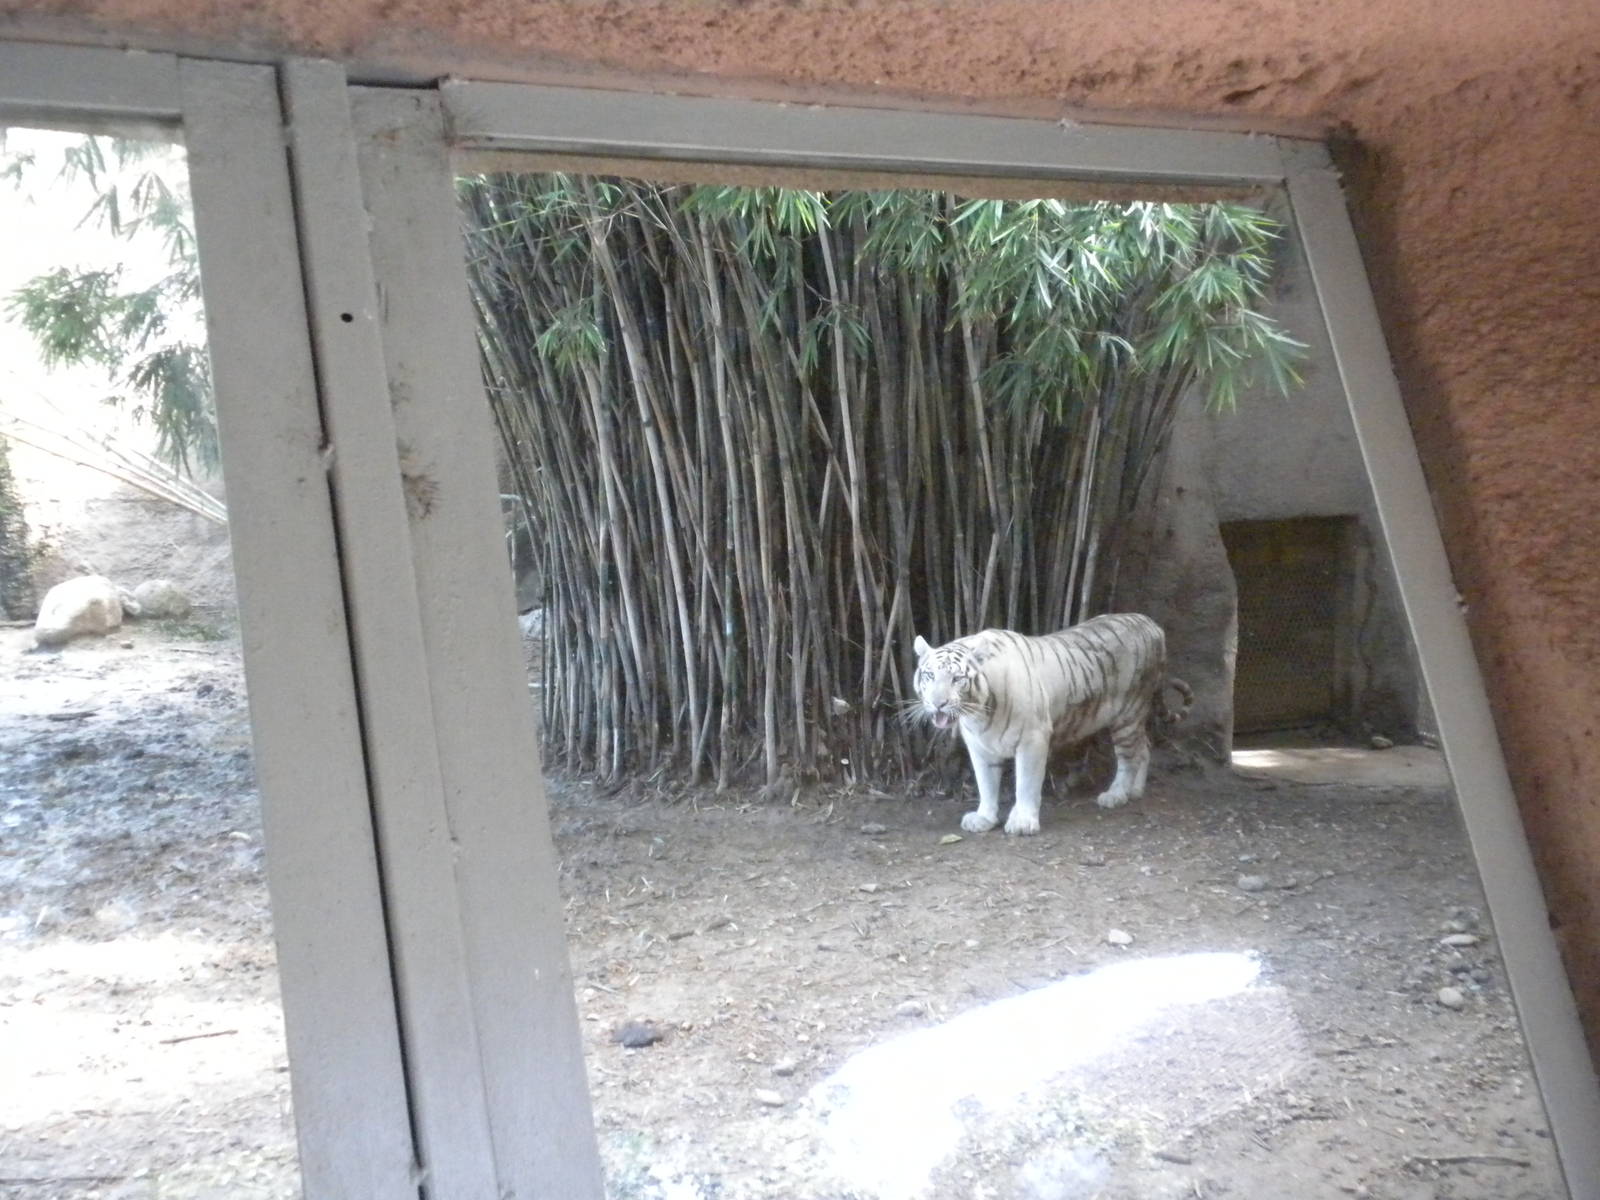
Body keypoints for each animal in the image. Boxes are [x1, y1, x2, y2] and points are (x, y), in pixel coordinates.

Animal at [911, 613, 1192, 836]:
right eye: (930, 675)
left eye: (957, 679)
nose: (938, 703)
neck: (978, 713)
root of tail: (1152, 625)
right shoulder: (980, 747)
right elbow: (986, 783)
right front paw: (984, 818)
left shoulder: (1032, 740)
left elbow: (1026, 783)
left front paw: (1023, 822)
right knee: (1144, 746)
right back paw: (1135, 791)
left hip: (1127, 714)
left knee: (1128, 758)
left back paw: (1116, 794)